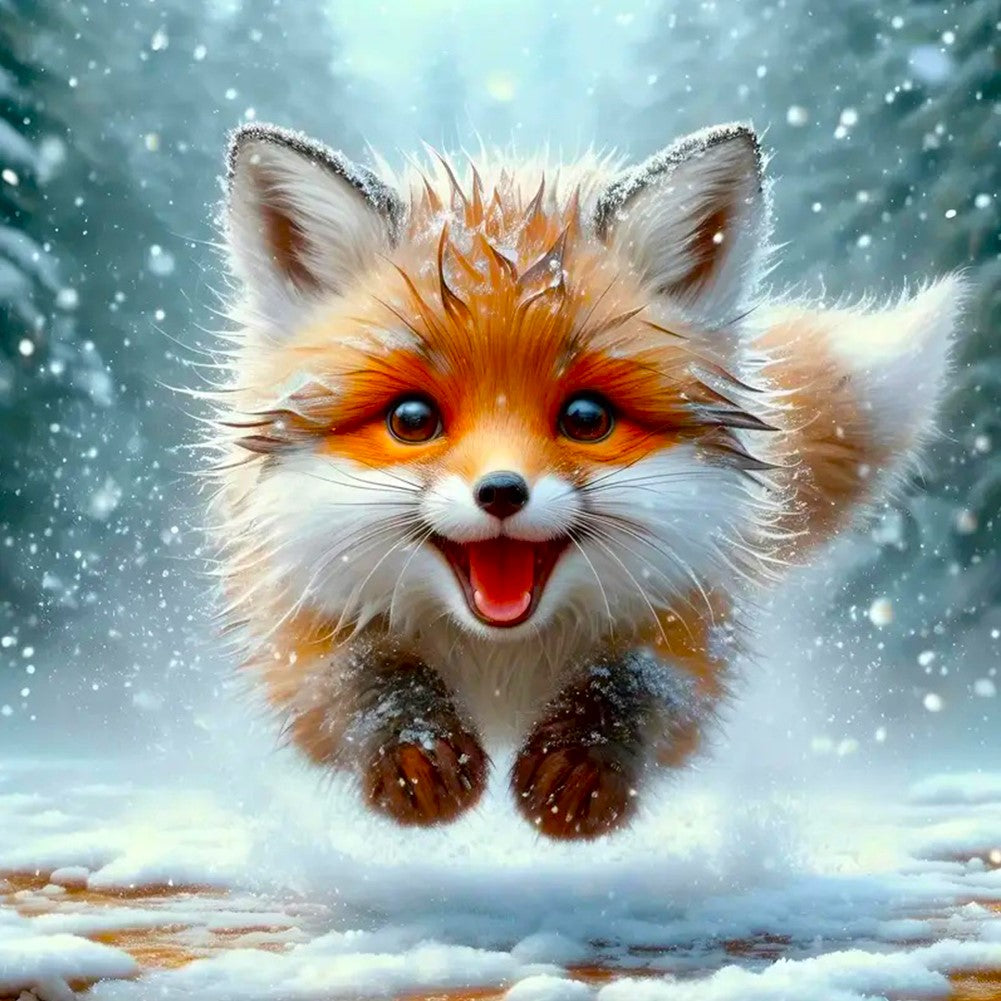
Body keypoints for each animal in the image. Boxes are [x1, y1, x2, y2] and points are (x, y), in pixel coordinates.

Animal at [209, 121, 964, 840]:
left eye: (585, 418)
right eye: (413, 419)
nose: (502, 492)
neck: (500, 663)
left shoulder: (689, 622)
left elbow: (635, 687)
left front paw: (580, 768)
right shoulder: (296, 627)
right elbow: (361, 682)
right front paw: (415, 751)